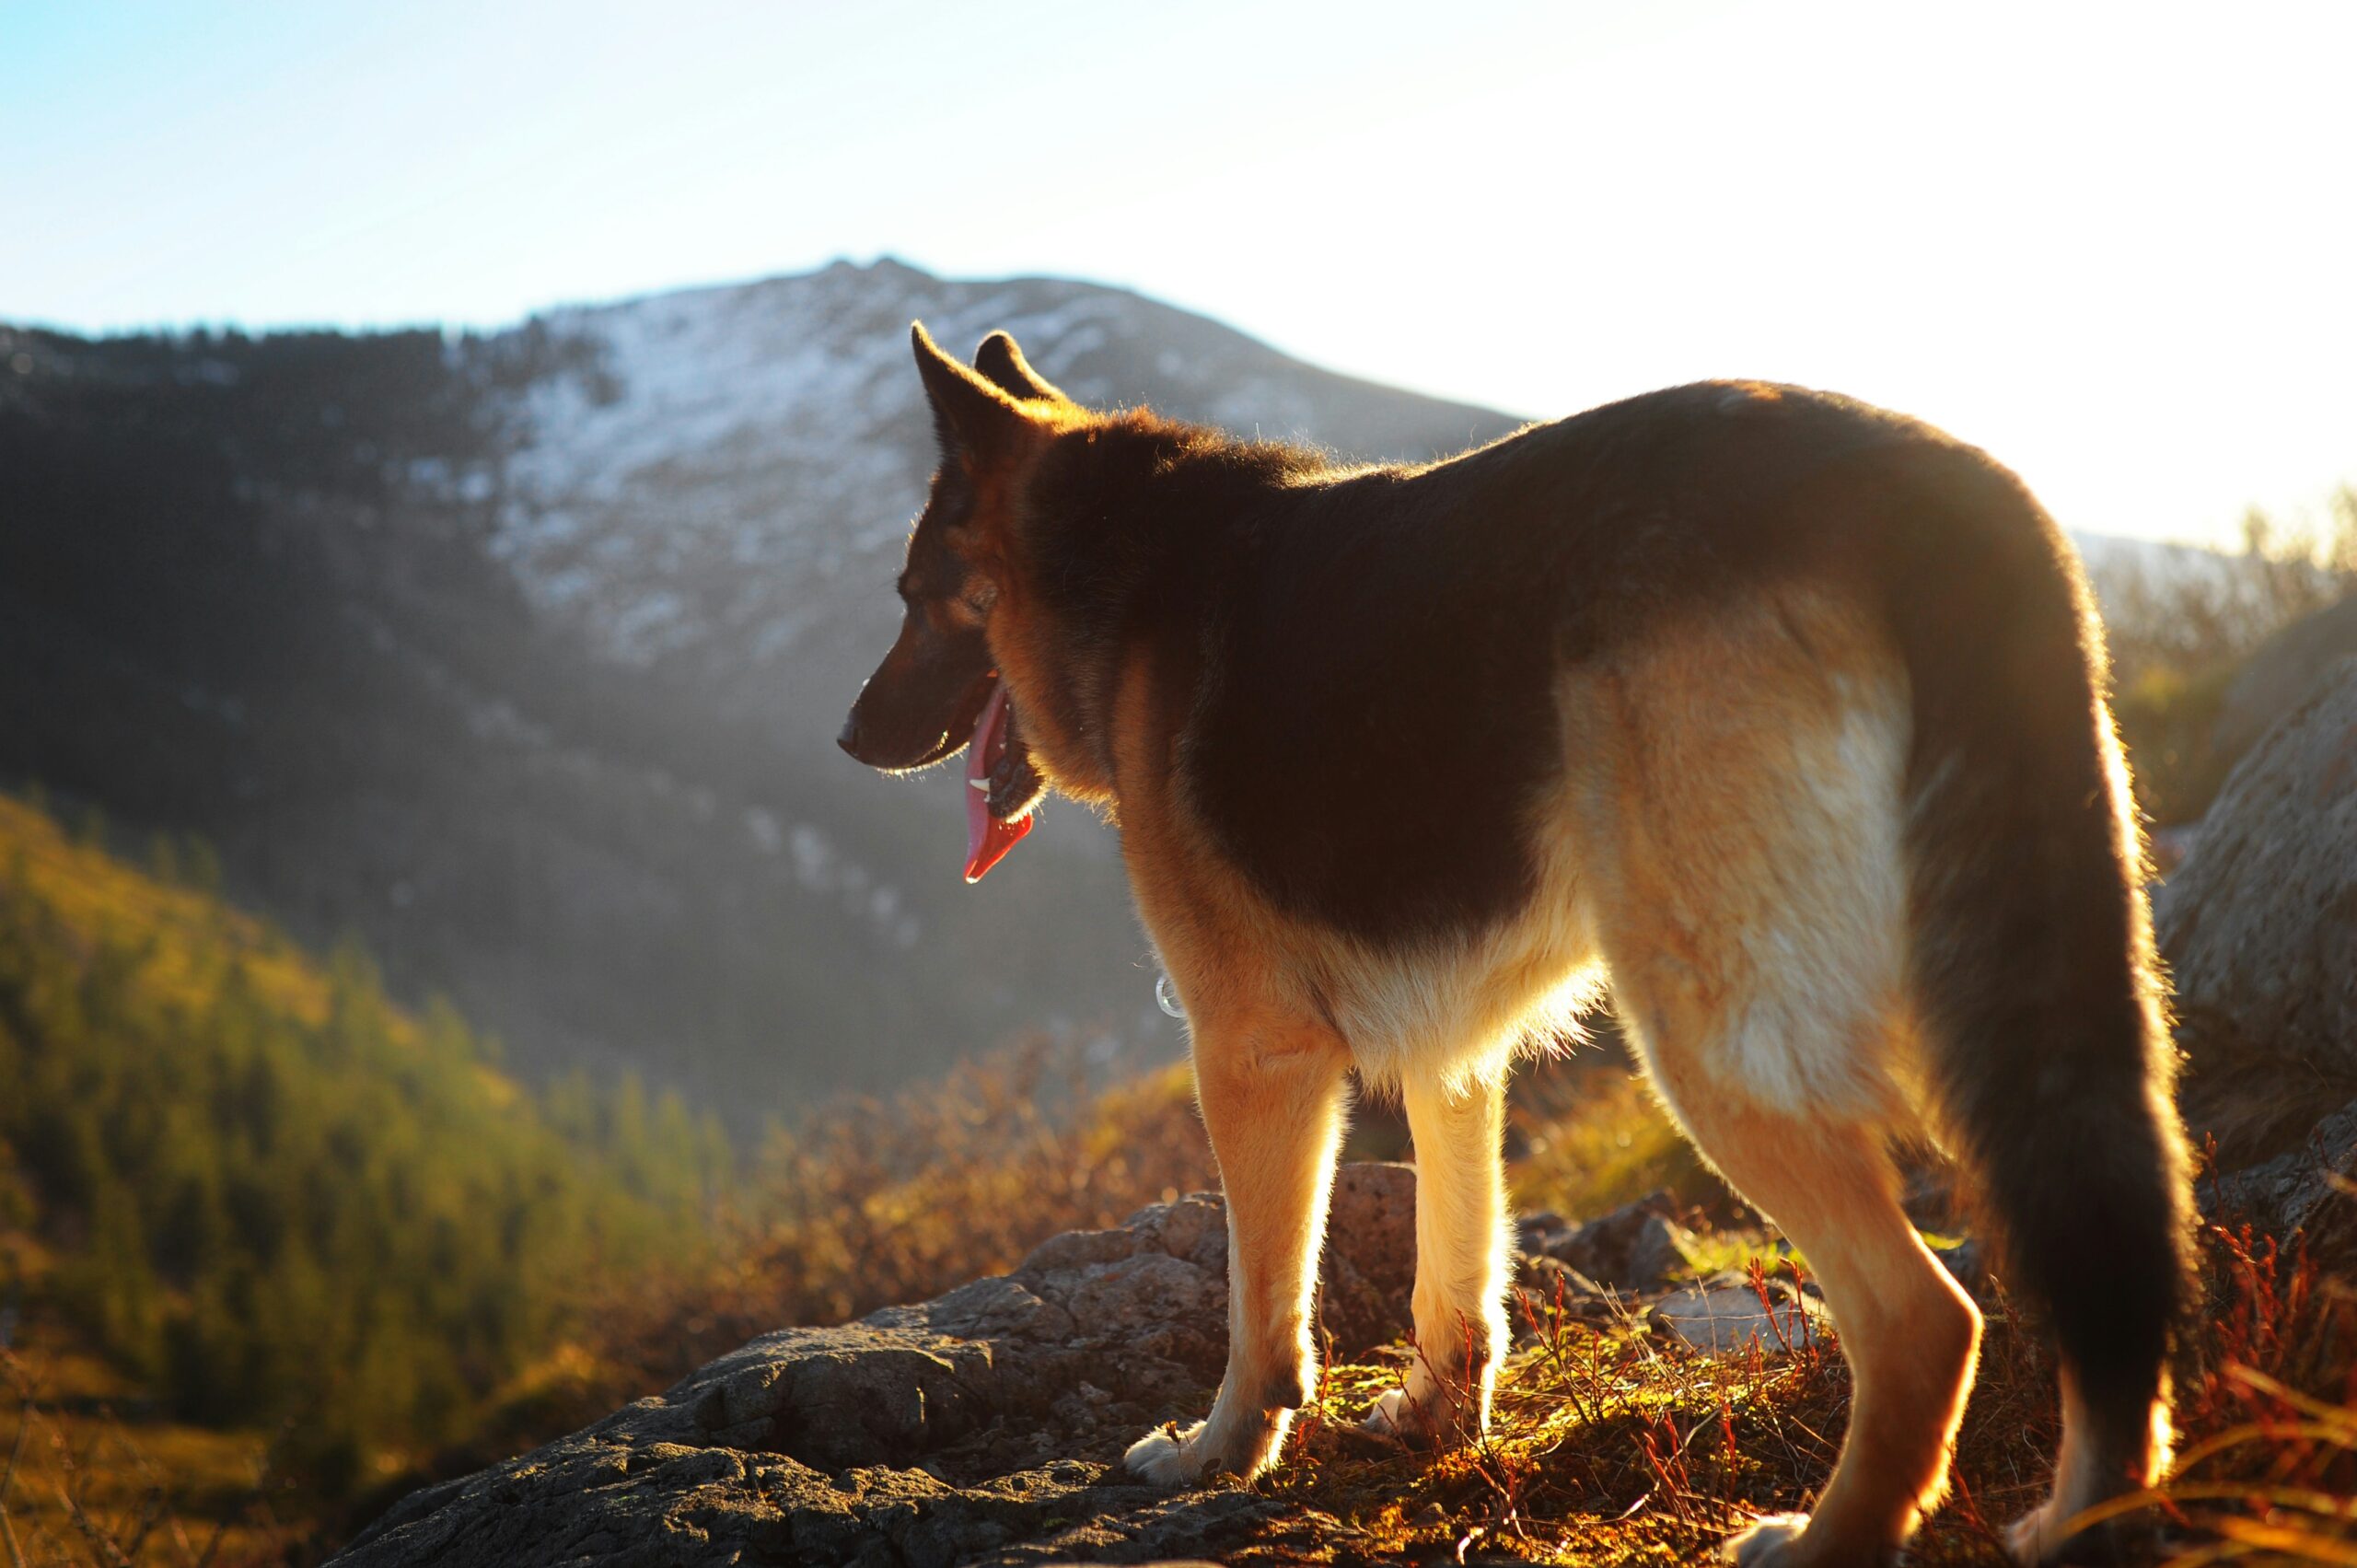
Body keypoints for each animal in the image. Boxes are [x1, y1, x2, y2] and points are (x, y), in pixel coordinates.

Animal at [839, 322, 2196, 1556]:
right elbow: (1457, 1261)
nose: (850, 737)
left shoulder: (1252, 1052)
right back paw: (2082, 1515)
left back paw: (1825, 1536)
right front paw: (1436, 1415)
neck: (1121, 563)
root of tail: (1940, 490)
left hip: (1712, 1027)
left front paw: (1223, 1447)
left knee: (1926, 1319)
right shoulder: (1454, 1049)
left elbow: (1260, 1303)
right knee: (2101, 1250)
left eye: (909, 598)